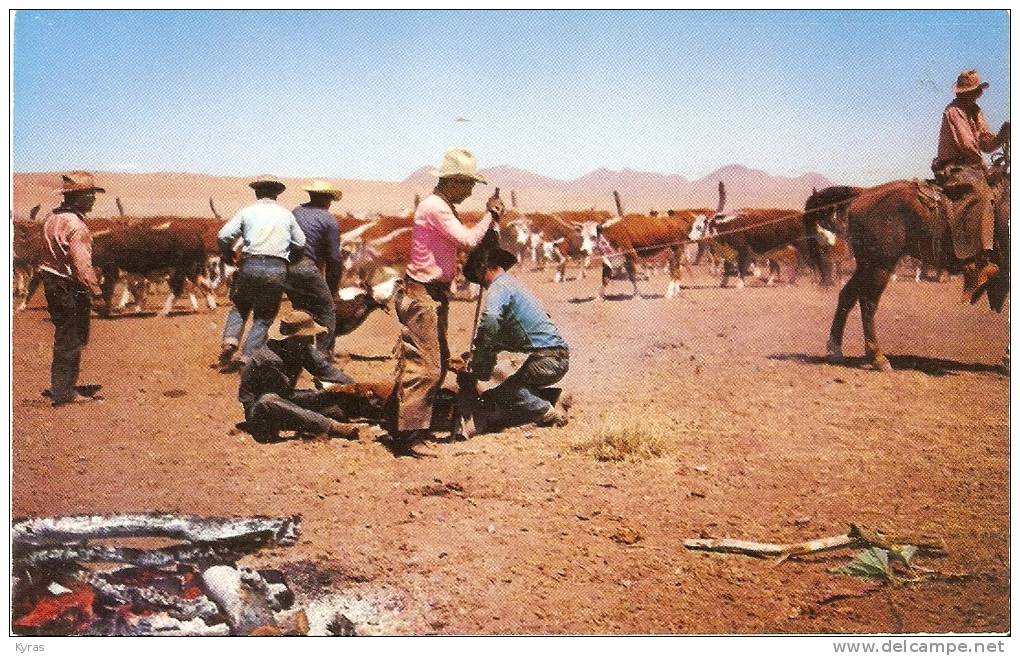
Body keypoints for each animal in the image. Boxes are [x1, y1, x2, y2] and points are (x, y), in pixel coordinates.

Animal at [803, 158, 1011, 369]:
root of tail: (864, 193)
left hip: (867, 264)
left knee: (847, 296)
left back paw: (835, 350)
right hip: (881, 265)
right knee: (868, 302)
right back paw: (877, 357)